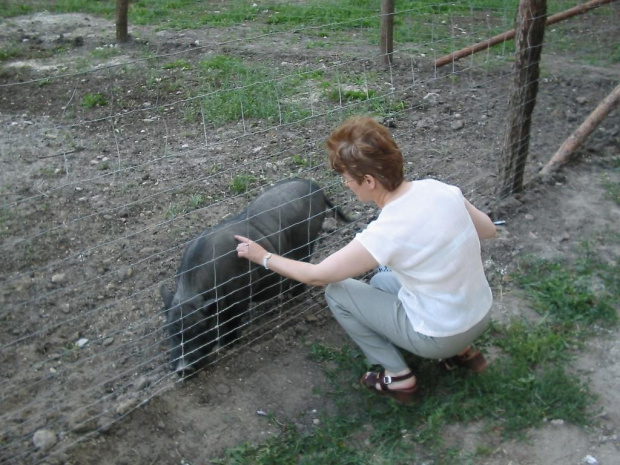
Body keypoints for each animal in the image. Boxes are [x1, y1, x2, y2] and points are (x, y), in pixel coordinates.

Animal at [160, 176, 352, 376]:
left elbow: (232, 322)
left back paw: (293, 296)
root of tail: (315, 187)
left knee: (305, 263)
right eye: (172, 330)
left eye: (199, 330)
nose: (183, 368)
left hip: (308, 237)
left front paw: (227, 346)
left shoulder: (239, 297)